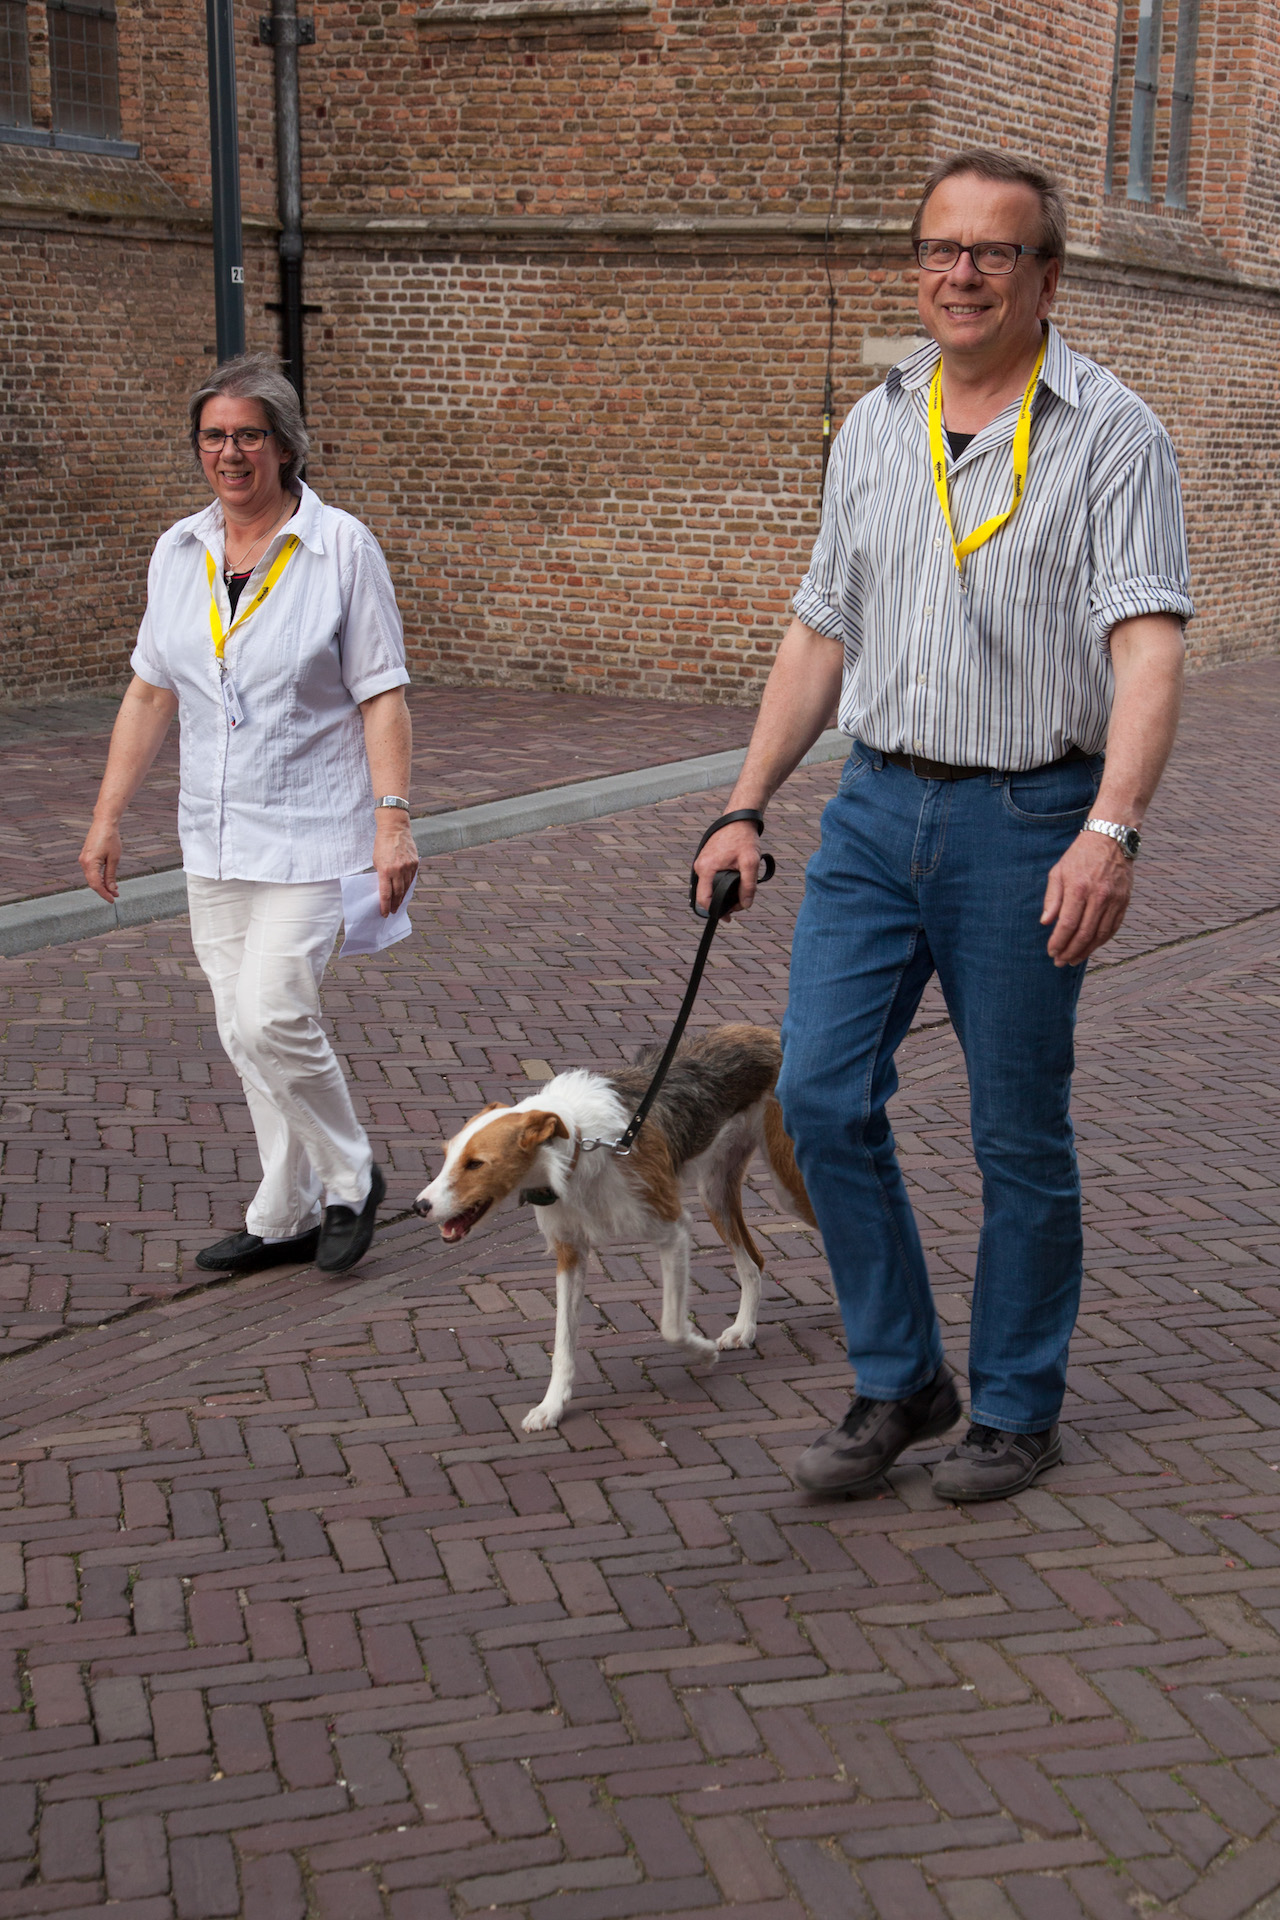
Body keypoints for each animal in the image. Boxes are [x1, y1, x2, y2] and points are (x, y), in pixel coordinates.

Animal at [414, 1023, 816, 1430]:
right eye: (447, 1156)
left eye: (476, 1164)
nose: (419, 1206)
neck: (580, 1144)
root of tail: (767, 1032)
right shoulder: (570, 1253)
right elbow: (563, 1342)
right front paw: (552, 1406)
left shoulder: (673, 1231)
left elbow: (671, 1326)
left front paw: (702, 1352)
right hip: (715, 1192)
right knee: (754, 1262)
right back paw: (745, 1330)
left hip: (789, 1187)